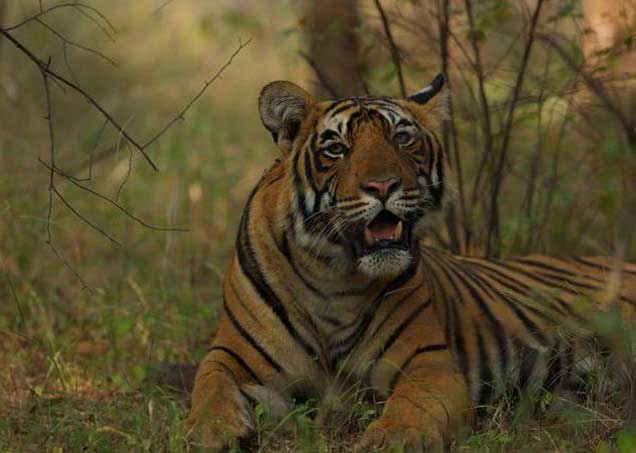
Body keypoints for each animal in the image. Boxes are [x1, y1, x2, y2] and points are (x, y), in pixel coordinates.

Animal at [184, 74, 636, 448]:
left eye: (402, 139)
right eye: (337, 148)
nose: (384, 185)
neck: (333, 275)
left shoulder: (429, 362)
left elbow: (413, 405)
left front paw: (393, 438)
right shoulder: (231, 355)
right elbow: (209, 387)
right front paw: (213, 432)